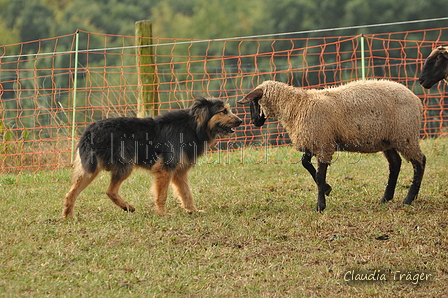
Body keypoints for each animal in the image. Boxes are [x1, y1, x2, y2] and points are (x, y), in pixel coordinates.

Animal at [63, 98, 242, 217]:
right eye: (223, 111)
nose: (240, 121)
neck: (192, 126)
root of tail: (89, 130)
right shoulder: (164, 169)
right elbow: (162, 195)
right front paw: (162, 214)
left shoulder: (179, 172)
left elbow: (186, 194)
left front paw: (193, 210)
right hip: (123, 165)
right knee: (109, 191)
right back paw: (127, 207)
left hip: (90, 170)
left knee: (72, 193)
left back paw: (68, 215)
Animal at [236, 78, 426, 210]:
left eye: (254, 102)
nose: (254, 122)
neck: (297, 106)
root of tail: (416, 99)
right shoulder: (313, 140)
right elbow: (305, 164)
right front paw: (327, 189)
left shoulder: (323, 143)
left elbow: (320, 175)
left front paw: (320, 205)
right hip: (388, 139)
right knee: (395, 164)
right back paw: (386, 198)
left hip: (405, 135)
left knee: (419, 162)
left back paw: (409, 199)